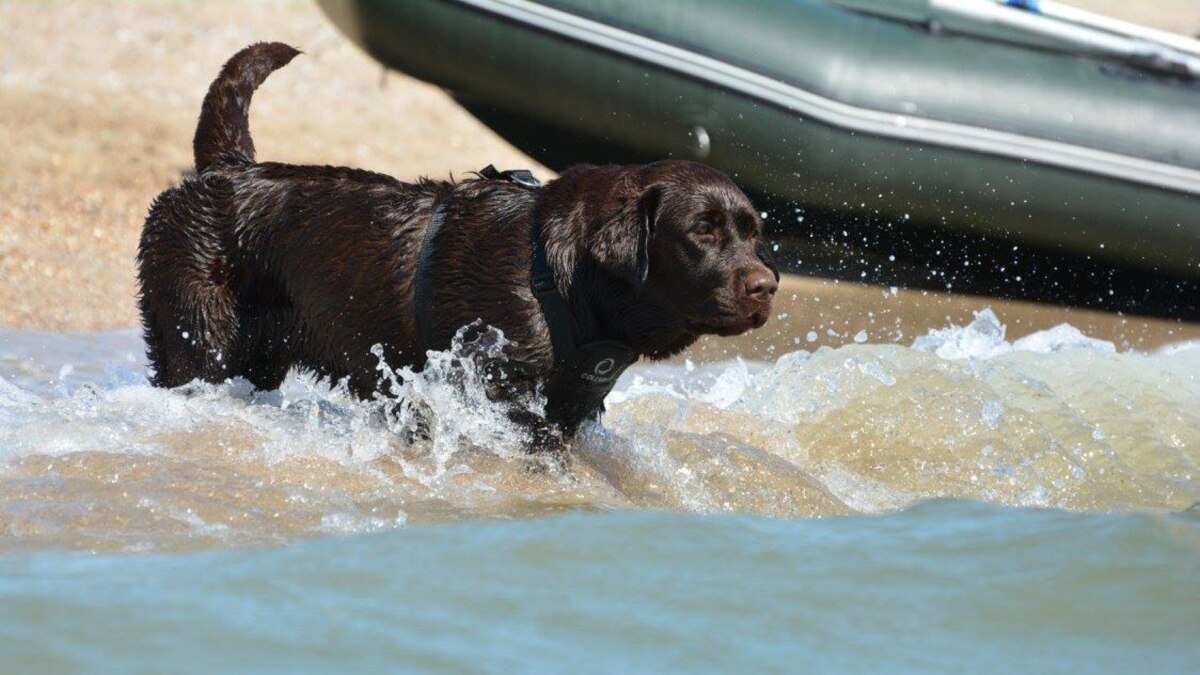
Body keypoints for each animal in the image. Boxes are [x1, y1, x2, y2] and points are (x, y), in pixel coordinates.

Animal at [138, 42, 777, 441]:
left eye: (753, 234)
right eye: (702, 231)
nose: (767, 286)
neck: (562, 283)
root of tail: (226, 168)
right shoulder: (493, 389)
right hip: (201, 344)